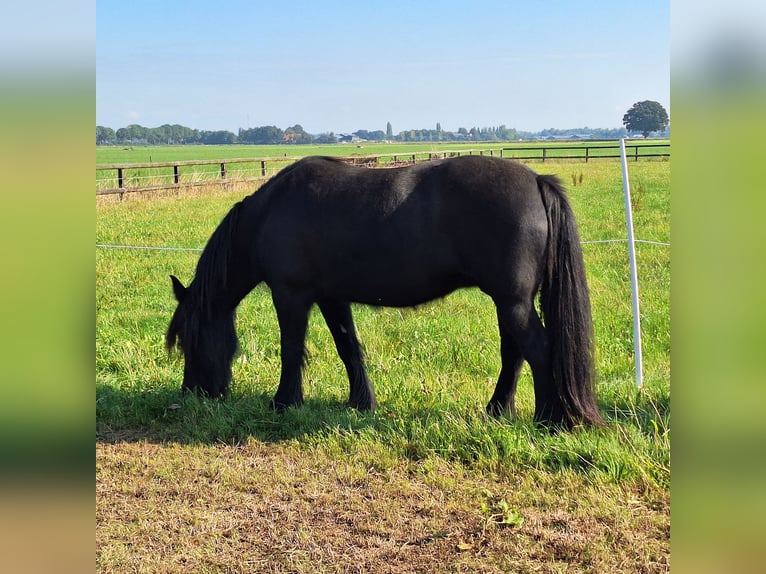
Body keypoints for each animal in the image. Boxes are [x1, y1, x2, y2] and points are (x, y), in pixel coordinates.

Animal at [167, 155, 604, 428]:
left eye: (188, 338)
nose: (193, 393)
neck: (270, 213)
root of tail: (536, 181)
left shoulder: (291, 296)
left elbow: (291, 350)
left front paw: (284, 402)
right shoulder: (331, 297)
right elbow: (348, 346)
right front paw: (361, 401)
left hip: (511, 301)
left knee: (537, 350)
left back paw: (548, 420)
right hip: (509, 301)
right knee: (514, 354)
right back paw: (498, 411)